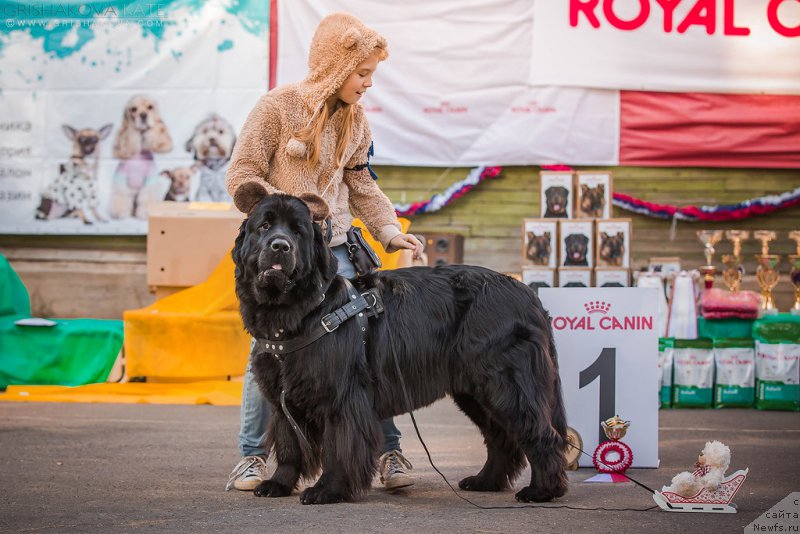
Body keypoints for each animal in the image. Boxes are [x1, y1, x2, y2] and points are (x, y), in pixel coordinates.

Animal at [231, 195, 568, 504]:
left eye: (297, 231)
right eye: (264, 226)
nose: (280, 246)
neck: (299, 312)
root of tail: (527, 292)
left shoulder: (341, 396)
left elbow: (339, 448)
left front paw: (327, 490)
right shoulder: (281, 400)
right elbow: (289, 448)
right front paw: (278, 484)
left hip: (505, 383)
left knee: (540, 433)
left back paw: (542, 490)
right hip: (474, 390)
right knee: (500, 438)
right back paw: (485, 481)